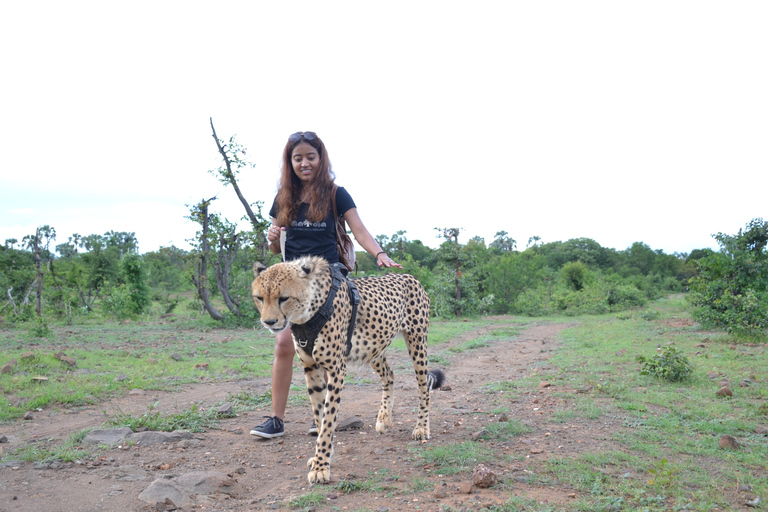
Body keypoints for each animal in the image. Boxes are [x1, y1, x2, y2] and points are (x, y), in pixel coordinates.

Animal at [252, 256, 444, 484]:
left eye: (284, 298)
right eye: (259, 298)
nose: (269, 322)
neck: (308, 312)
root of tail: (408, 275)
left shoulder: (336, 369)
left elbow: (328, 418)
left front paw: (321, 466)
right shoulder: (311, 367)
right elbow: (319, 415)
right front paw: (321, 457)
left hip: (417, 342)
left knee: (423, 385)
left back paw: (421, 428)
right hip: (373, 349)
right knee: (389, 375)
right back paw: (383, 419)